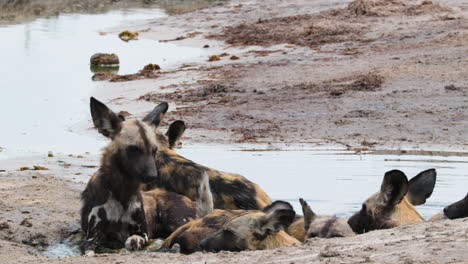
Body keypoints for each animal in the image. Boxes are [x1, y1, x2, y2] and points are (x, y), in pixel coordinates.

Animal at [82, 98, 196, 255]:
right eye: (134, 149)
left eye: (154, 150)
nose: (153, 175)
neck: (122, 192)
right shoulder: (92, 237)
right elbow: (90, 251)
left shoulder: (143, 233)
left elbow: (131, 241)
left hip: (175, 221)